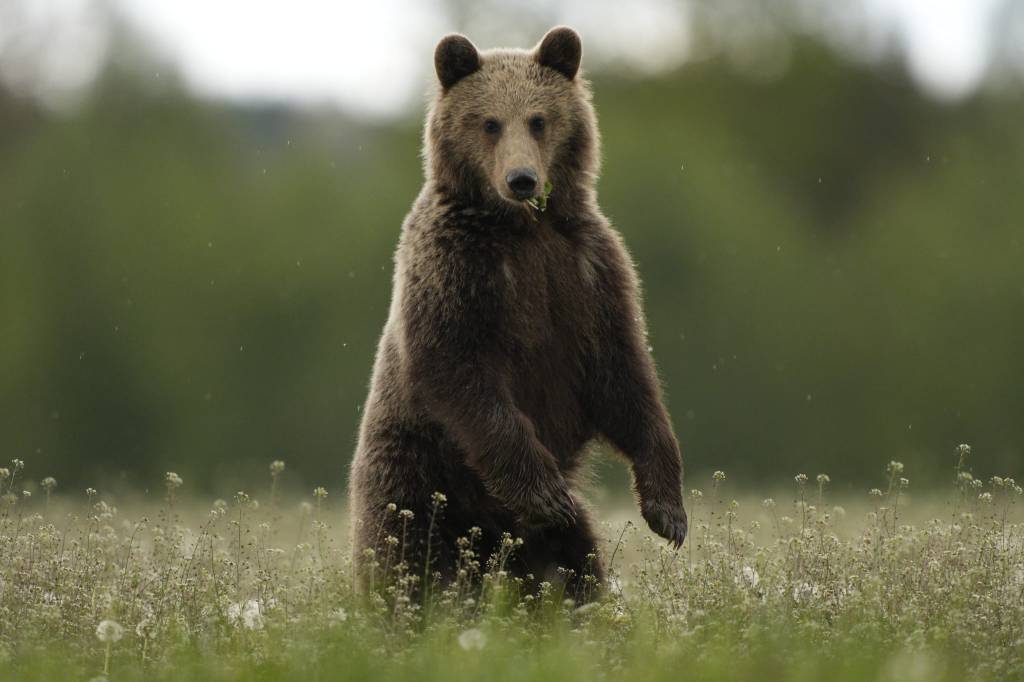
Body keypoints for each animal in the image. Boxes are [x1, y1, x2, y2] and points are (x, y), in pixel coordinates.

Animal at [348, 26, 686, 600]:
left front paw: (668, 512)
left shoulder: (589, 274)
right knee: (406, 557)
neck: (522, 228)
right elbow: (459, 371)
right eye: (488, 122)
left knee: (575, 567)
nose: (522, 179)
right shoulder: (458, 272)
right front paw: (546, 493)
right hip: (412, 477)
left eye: (538, 119)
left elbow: (625, 376)